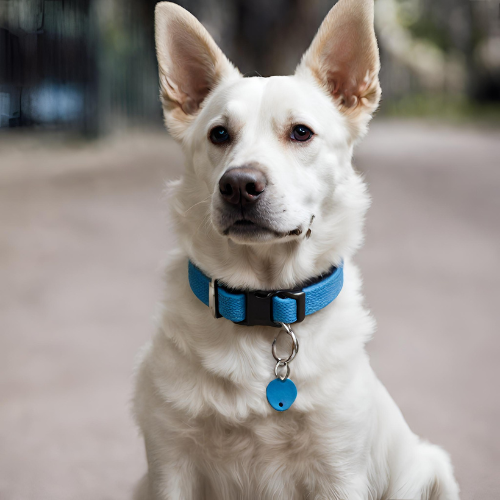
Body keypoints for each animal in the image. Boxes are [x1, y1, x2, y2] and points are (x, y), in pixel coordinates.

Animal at [133, 1, 460, 498]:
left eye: (301, 132)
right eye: (219, 134)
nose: (239, 186)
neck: (266, 305)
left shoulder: (339, 470)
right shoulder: (170, 464)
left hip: (431, 467)